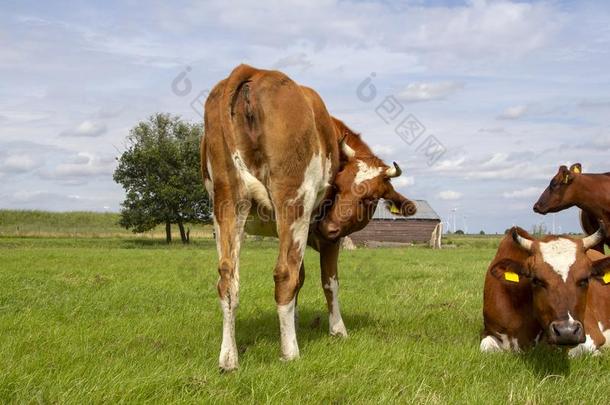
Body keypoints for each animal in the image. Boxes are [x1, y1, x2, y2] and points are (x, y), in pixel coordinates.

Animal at [202, 63, 416, 370]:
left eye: (369, 197)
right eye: (338, 186)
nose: (328, 226)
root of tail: (253, 71)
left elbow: (302, 279)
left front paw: (294, 322)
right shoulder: (329, 240)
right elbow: (329, 282)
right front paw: (338, 330)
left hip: (226, 203)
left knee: (228, 279)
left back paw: (229, 359)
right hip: (294, 203)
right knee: (284, 274)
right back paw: (290, 352)